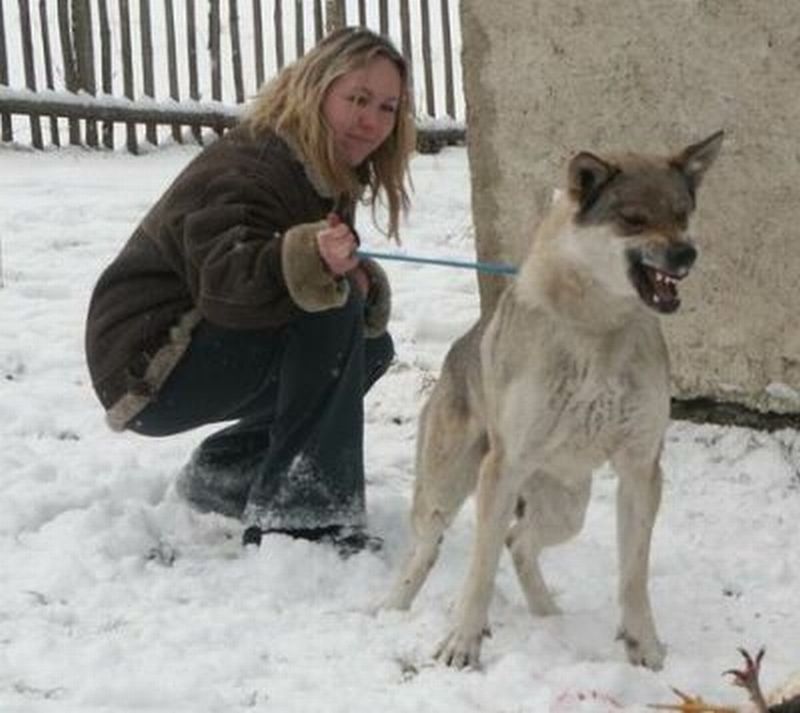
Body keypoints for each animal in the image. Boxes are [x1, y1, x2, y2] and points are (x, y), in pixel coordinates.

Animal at [384, 131, 728, 672]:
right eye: (634, 219)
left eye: (682, 213)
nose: (686, 255)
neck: (599, 328)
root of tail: (455, 352)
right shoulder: (501, 470)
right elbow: (479, 572)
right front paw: (462, 643)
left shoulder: (639, 470)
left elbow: (633, 576)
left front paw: (644, 647)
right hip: (446, 489)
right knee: (426, 549)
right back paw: (390, 609)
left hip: (569, 507)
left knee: (519, 541)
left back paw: (547, 615)